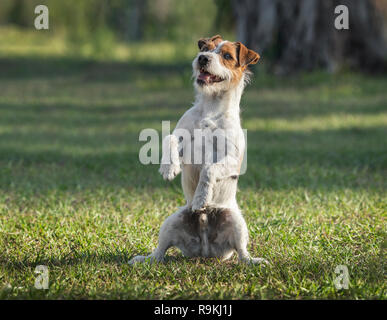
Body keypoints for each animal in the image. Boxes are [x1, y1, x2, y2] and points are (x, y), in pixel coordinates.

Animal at [129, 34, 268, 264]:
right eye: (205, 49)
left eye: (227, 56)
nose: (203, 58)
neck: (211, 107)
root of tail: (205, 250)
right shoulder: (183, 140)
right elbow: (169, 139)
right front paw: (169, 167)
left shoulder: (233, 160)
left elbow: (209, 169)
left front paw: (201, 198)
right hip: (170, 222)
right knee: (159, 252)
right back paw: (144, 259)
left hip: (237, 223)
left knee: (242, 252)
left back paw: (253, 261)